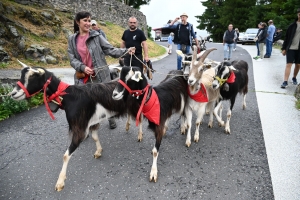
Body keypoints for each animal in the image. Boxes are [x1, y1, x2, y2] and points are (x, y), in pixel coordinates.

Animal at [10, 60, 144, 191]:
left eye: (32, 77)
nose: (13, 94)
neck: (68, 96)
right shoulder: (91, 122)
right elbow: (94, 137)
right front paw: (98, 151)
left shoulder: (79, 128)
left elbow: (66, 155)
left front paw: (60, 182)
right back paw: (127, 126)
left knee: (140, 118)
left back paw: (140, 135)